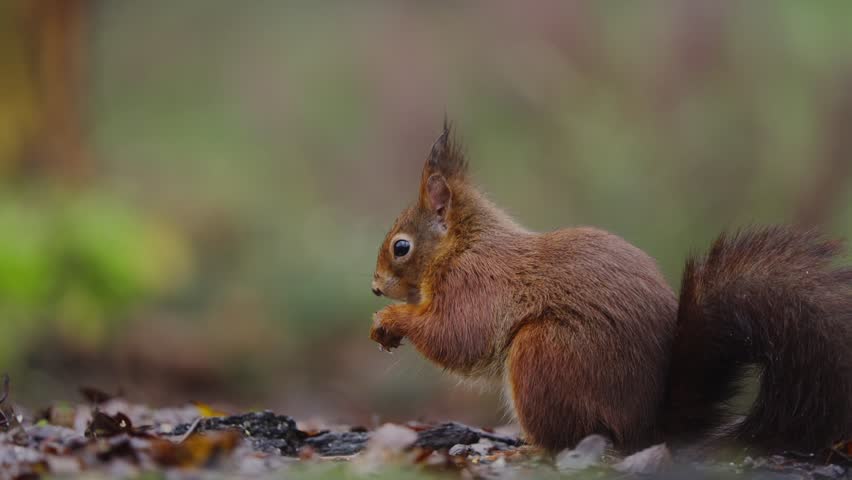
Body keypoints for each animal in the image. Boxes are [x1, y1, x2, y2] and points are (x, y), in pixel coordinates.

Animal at [369, 122, 852, 454]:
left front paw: (391, 320)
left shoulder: (474, 282)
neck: (463, 244)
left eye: (401, 247)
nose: (374, 287)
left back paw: (532, 448)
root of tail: (646, 429)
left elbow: (458, 336)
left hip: (545, 353)